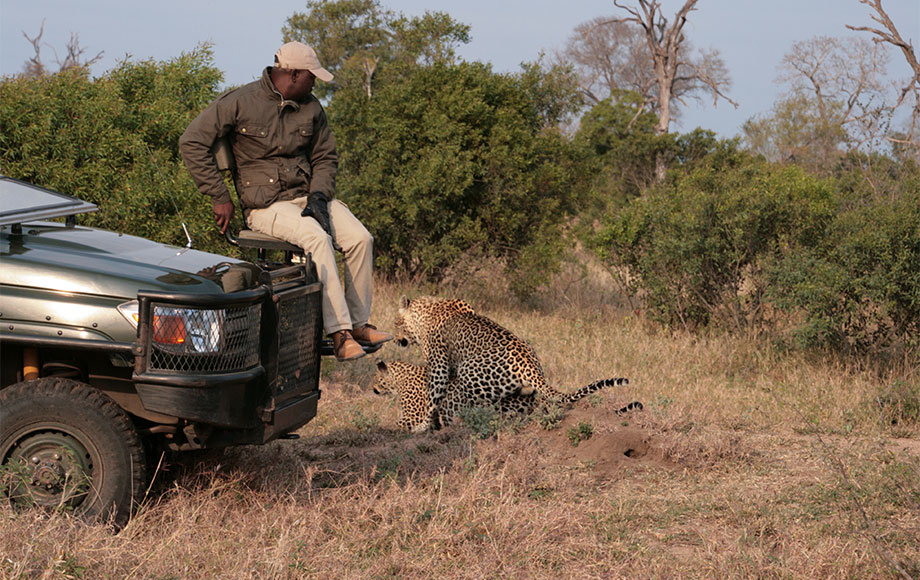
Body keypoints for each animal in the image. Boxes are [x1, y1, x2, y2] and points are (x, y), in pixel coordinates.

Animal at [392, 296, 636, 428]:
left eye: (395, 323)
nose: (395, 339)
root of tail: (530, 364)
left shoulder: (438, 365)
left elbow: (433, 394)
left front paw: (423, 425)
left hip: (469, 372)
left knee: (478, 407)